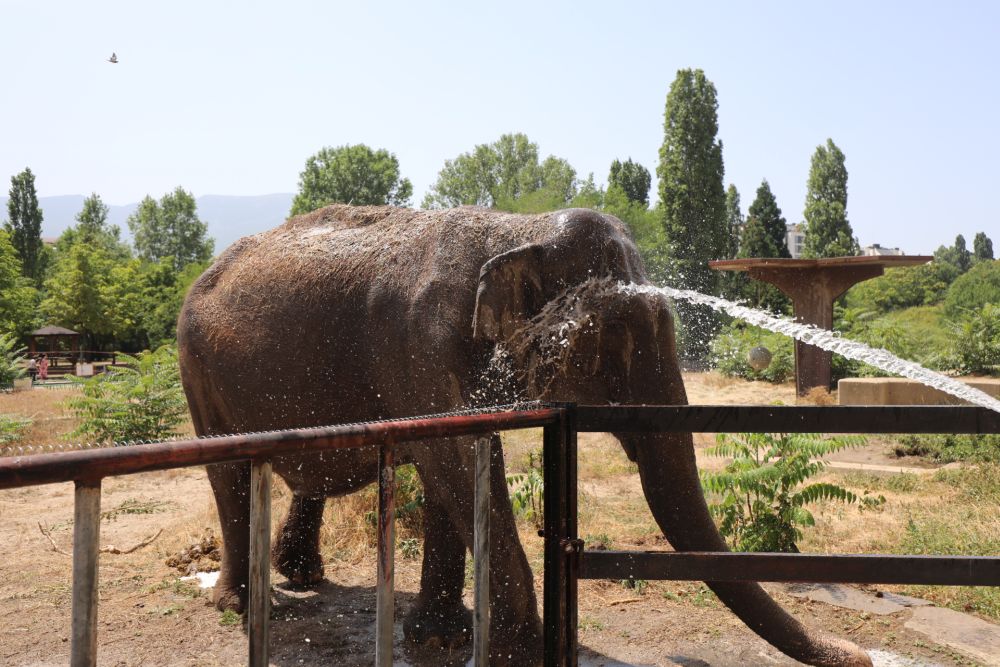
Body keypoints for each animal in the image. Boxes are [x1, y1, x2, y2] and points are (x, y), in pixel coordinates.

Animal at [180, 205, 876, 667]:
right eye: (611, 339)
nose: (863, 656)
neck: (515, 231)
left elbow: (455, 460)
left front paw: (441, 638)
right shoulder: (415, 346)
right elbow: (455, 460)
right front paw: (519, 649)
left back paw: (301, 578)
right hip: (196, 366)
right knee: (230, 474)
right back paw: (243, 606)